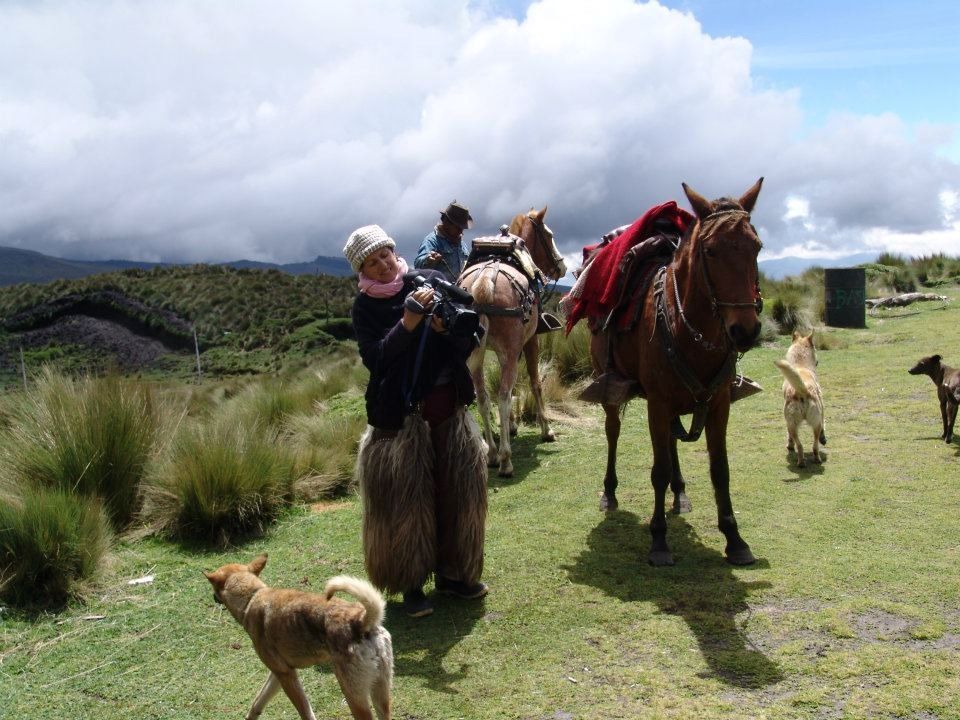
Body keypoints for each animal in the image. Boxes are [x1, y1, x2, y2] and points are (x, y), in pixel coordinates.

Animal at [204, 556, 392, 720]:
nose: (213, 597)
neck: (252, 597)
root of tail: (361, 621)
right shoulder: (279, 673)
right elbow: (258, 701)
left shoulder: (287, 676)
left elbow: (305, 712)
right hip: (380, 693)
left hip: (353, 695)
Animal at [460, 208, 568, 478]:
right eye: (549, 235)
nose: (562, 266)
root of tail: (485, 280)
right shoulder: (529, 343)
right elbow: (534, 382)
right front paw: (546, 430)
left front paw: (511, 426)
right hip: (509, 351)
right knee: (503, 396)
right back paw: (505, 460)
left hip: (479, 358)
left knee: (484, 398)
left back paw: (491, 453)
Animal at [584, 177, 764, 564]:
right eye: (710, 250)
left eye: (756, 247)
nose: (745, 330)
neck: (689, 331)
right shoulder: (657, 402)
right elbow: (659, 469)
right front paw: (659, 540)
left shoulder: (718, 404)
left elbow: (719, 469)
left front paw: (735, 539)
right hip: (612, 391)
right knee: (613, 432)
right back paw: (609, 492)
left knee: (670, 442)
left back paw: (680, 493)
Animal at [772, 332, 824, 466]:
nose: (818, 361)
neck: (800, 366)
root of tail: (803, 390)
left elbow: (789, 436)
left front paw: (789, 445)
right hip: (814, 423)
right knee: (813, 445)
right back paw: (814, 459)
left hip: (792, 423)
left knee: (800, 444)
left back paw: (801, 462)